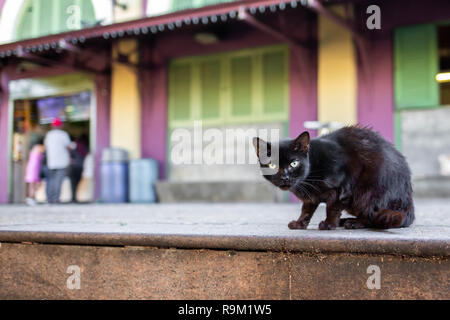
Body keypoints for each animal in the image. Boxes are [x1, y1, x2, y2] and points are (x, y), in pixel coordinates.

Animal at [253, 125, 414, 230]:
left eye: (294, 163)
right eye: (272, 165)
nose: (285, 177)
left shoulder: (342, 188)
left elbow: (332, 208)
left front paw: (329, 224)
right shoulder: (310, 197)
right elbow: (306, 210)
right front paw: (300, 224)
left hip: (368, 193)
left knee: (373, 217)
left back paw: (353, 223)